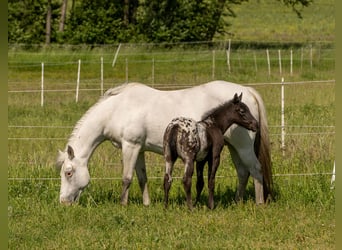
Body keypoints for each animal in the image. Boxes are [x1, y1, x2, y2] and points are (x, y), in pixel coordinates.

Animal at [56, 81, 274, 206]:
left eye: (68, 173)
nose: (63, 202)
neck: (118, 108)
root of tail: (248, 91)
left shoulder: (130, 146)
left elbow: (126, 178)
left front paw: (123, 205)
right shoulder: (138, 149)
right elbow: (142, 178)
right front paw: (147, 205)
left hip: (243, 147)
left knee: (255, 169)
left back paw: (259, 204)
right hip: (234, 147)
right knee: (243, 172)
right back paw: (238, 202)